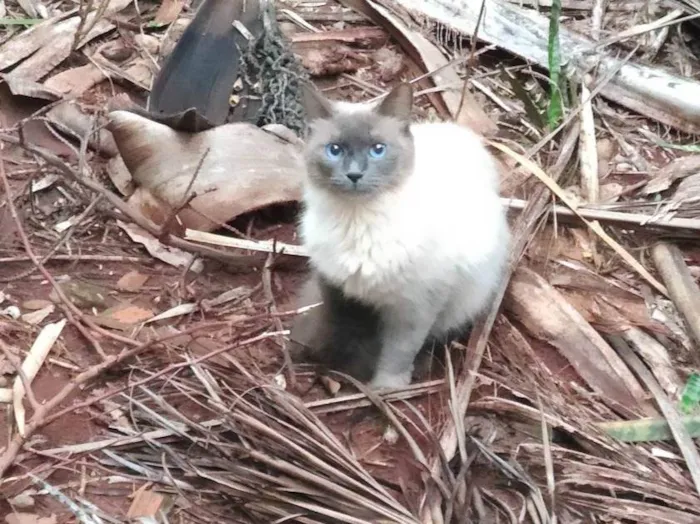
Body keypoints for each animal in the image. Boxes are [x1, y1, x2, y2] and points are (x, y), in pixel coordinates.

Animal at [290, 83, 508, 388]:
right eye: (335, 150)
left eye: (378, 150)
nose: (354, 174)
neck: (358, 221)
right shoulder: (336, 286)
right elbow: (335, 325)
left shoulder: (415, 306)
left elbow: (398, 351)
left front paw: (385, 388)